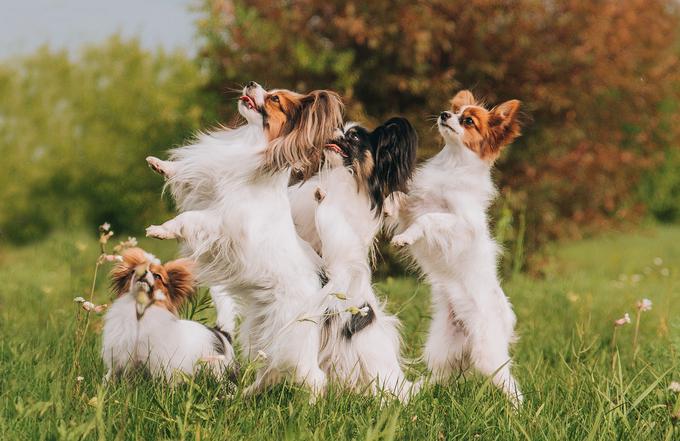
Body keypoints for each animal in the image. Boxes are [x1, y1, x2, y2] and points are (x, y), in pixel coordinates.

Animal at [101, 248, 236, 382]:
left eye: (157, 276)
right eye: (133, 271)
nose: (143, 272)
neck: (139, 312)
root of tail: (221, 333)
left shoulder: (156, 362)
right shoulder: (118, 359)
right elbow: (110, 376)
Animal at [145, 81, 342, 398]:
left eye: (274, 99)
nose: (251, 84)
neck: (251, 143)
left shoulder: (220, 220)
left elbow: (187, 219)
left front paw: (162, 229)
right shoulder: (210, 189)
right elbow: (189, 176)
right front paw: (160, 165)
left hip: (289, 340)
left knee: (313, 377)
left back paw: (311, 404)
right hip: (263, 334)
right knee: (268, 370)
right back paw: (244, 394)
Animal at [388, 90, 524, 406]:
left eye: (469, 120)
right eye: (454, 111)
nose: (443, 115)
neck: (451, 163)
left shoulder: (459, 225)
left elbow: (428, 219)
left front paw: (404, 239)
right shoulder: (414, 205)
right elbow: (401, 200)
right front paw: (386, 204)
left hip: (488, 356)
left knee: (510, 383)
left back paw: (520, 411)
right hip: (441, 348)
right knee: (441, 376)